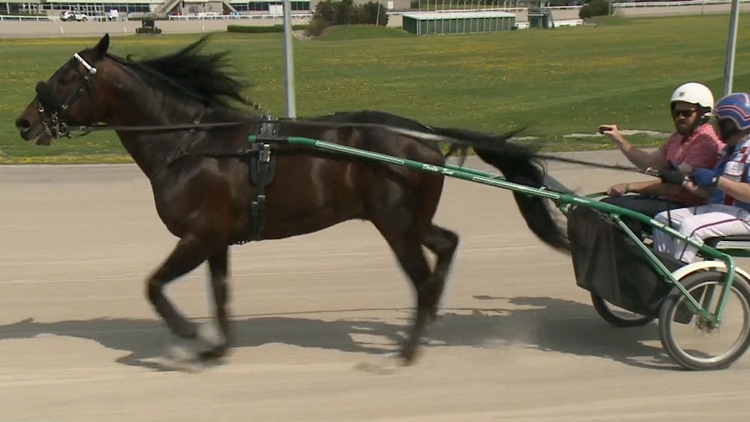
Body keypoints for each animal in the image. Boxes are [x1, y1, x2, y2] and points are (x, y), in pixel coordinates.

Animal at [13, 33, 568, 370]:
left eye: (64, 77)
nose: (22, 121)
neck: (192, 143)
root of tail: (423, 132)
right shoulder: (216, 238)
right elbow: (220, 295)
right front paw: (216, 347)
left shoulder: (198, 234)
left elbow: (153, 286)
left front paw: (188, 333)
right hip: (408, 220)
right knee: (446, 244)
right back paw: (428, 322)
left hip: (394, 224)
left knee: (420, 277)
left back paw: (408, 351)